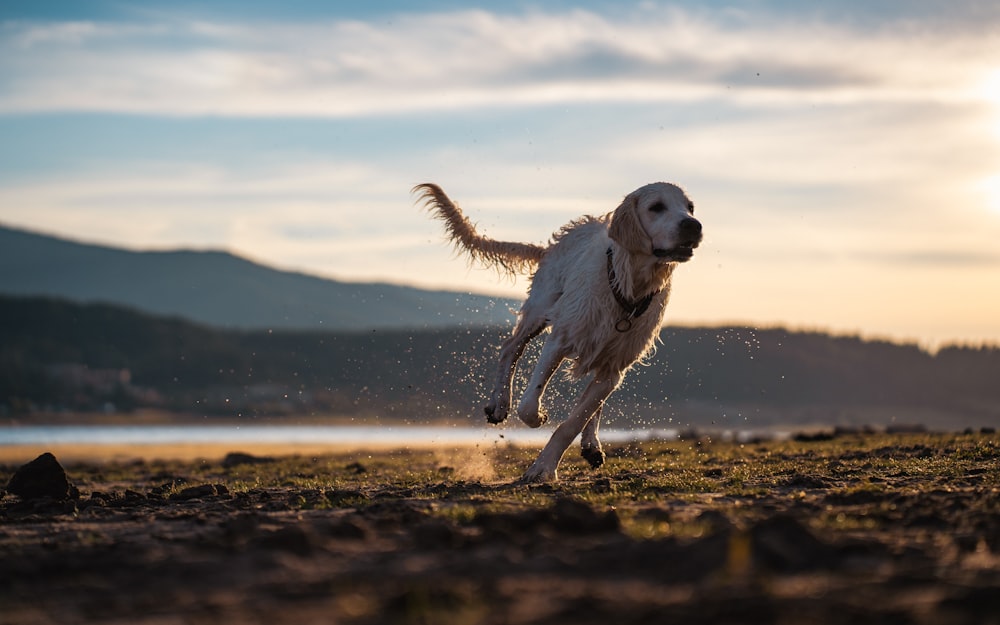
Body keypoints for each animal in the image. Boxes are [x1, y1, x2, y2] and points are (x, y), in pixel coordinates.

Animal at [414, 182, 704, 482]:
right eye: (656, 207)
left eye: (690, 207)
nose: (693, 225)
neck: (626, 287)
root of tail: (554, 245)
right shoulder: (560, 340)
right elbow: (529, 405)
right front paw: (539, 424)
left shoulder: (615, 367)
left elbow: (575, 420)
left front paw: (544, 467)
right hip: (541, 307)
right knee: (510, 348)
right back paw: (500, 404)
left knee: (592, 402)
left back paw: (591, 444)